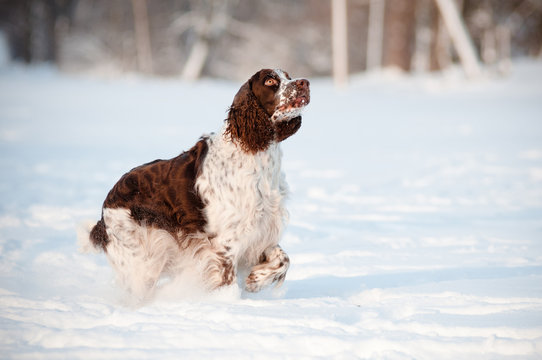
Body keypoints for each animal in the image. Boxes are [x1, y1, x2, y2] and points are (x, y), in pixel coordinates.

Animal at [78, 69, 312, 300]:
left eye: (288, 75)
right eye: (270, 81)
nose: (305, 83)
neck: (256, 153)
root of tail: (103, 214)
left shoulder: (262, 231)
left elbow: (284, 259)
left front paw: (256, 280)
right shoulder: (225, 241)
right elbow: (228, 282)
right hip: (142, 258)